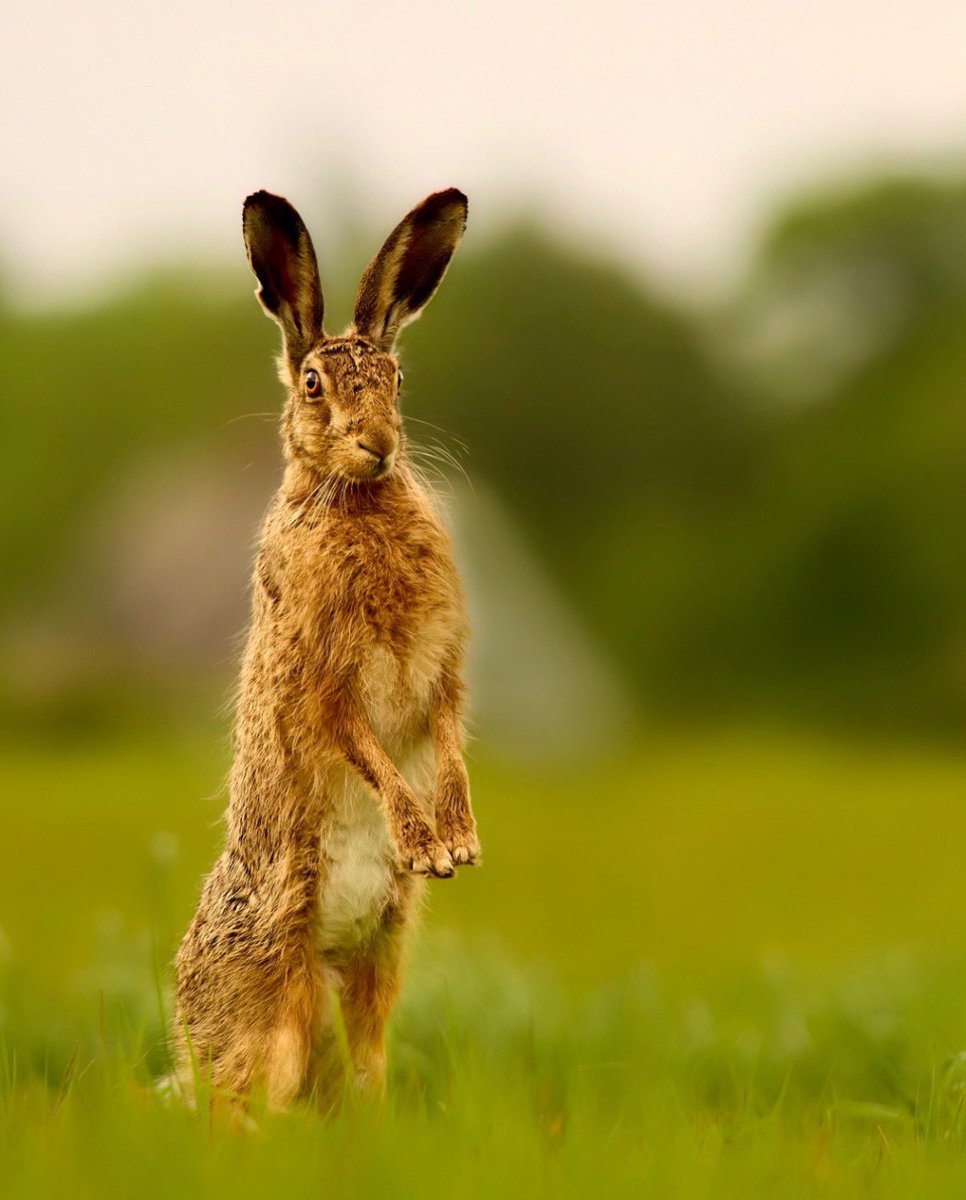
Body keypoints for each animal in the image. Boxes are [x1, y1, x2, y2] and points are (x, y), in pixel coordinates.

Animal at [173, 187, 479, 1111]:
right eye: (314, 384)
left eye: (397, 381)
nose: (379, 443)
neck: (357, 496)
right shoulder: (324, 682)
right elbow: (367, 749)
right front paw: (424, 842)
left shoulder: (442, 678)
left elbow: (446, 743)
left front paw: (459, 839)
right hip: (281, 993)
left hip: (381, 953)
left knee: (365, 1059)